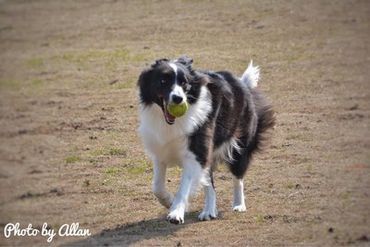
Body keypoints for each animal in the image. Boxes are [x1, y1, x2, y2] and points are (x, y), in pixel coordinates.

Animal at [137, 57, 274, 225]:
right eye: (163, 81)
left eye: (184, 83)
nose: (178, 99)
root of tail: (243, 84)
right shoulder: (161, 151)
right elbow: (157, 187)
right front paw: (169, 201)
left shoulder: (196, 154)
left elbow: (184, 186)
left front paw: (176, 213)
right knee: (209, 183)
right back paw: (209, 211)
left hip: (239, 146)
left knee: (238, 177)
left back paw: (239, 204)